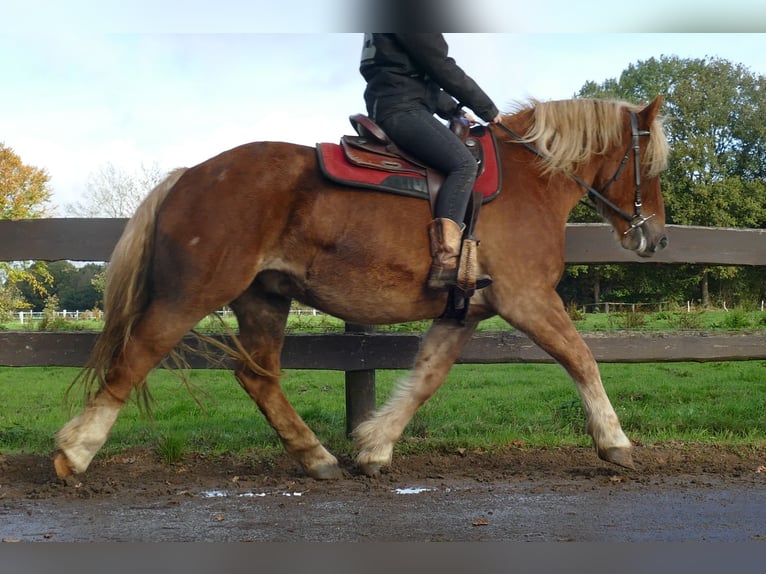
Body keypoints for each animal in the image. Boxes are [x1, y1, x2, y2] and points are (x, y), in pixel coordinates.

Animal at [54, 96, 670, 481]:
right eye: (653, 165)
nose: (656, 237)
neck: (528, 180)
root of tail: (190, 175)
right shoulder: (529, 300)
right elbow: (581, 358)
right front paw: (614, 442)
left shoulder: (464, 311)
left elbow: (426, 379)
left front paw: (374, 447)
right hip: (190, 296)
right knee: (134, 358)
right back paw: (75, 453)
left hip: (264, 298)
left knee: (257, 377)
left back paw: (316, 457)